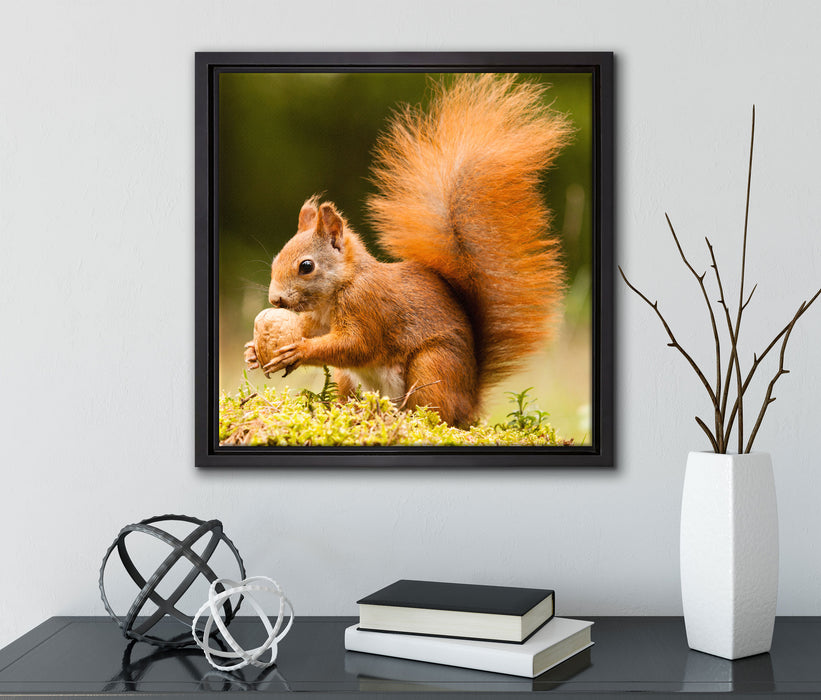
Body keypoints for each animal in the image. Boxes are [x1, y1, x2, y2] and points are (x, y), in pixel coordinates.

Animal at [244, 73, 571, 428]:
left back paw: (412, 421)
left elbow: (357, 345)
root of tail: (470, 402)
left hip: (432, 366)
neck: (339, 289)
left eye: (306, 266)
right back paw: (349, 412)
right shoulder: (317, 321)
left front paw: (300, 351)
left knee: (433, 412)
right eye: (276, 260)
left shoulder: (368, 306)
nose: (275, 299)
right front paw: (252, 350)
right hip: (352, 380)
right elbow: (310, 331)